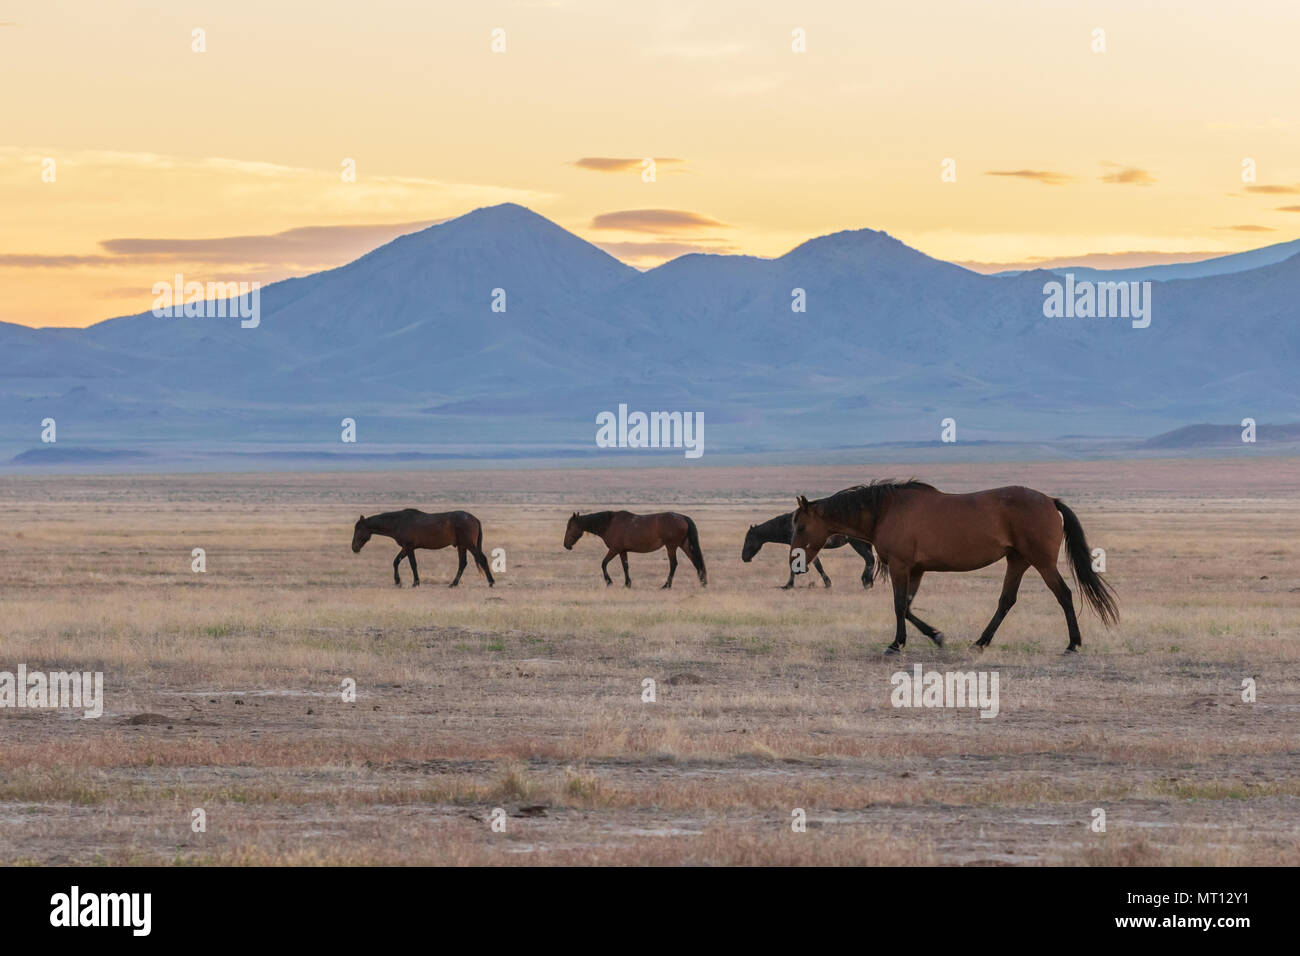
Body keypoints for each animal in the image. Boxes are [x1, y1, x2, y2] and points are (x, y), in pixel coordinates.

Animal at [352, 509, 495, 588]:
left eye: (358, 529)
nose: (354, 548)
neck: (398, 522)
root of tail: (474, 519)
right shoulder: (407, 548)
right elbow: (396, 562)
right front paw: (399, 582)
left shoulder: (408, 547)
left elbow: (412, 564)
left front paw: (414, 583)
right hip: (461, 546)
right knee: (463, 563)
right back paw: (453, 584)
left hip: (469, 545)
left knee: (482, 559)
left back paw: (491, 582)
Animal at [563, 511, 707, 588]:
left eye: (570, 527)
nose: (566, 545)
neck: (609, 524)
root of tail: (683, 517)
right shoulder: (622, 551)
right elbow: (625, 566)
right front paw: (627, 583)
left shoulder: (614, 549)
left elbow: (603, 564)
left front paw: (609, 582)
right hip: (684, 544)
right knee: (695, 562)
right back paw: (702, 582)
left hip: (671, 546)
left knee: (673, 564)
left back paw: (666, 585)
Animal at [742, 511, 876, 589]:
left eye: (748, 539)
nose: (744, 557)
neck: (790, 526)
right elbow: (816, 565)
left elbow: (812, 565)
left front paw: (789, 585)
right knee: (869, 560)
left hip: (857, 544)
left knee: (870, 559)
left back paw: (867, 582)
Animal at [790, 480, 1117, 654]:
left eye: (801, 526)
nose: (795, 561)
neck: (886, 511)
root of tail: (1050, 500)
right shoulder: (916, 570)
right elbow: (908, 606)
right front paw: (935, 635)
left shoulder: (900, 567)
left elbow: (899, 605)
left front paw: (897, 643)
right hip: (1018, 561)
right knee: (1006, 600)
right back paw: (981, 642)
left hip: (1041, 562)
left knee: (1063, 595)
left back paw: (1073, 644)